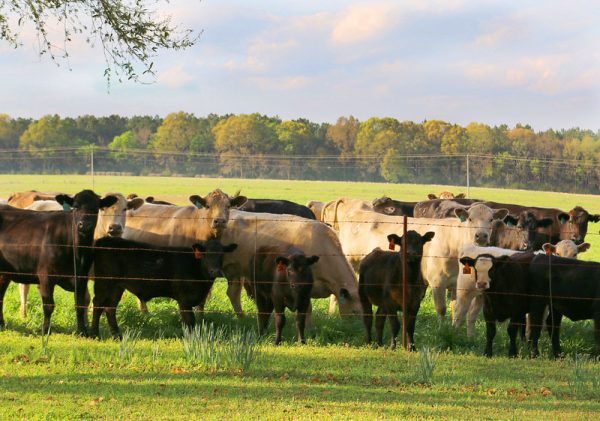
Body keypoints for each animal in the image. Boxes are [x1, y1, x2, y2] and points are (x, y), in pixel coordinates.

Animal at [0, 191, 119, 334]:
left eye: (96, 208)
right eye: (76, 206)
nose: (84, 225)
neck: (77, 252)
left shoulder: (81, 277)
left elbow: (80, 304)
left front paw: (82, 331)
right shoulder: (46, 276)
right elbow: (49, 305)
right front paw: (46, 330)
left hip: (4, 273)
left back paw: (1, 324)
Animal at [91, 236, 237, 338]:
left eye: (222, 255)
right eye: (206, 254)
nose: (216, 271)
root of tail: (105, 239)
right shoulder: (184, 299)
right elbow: (189, 321)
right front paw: (191, 339)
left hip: (117, 286)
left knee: (110, 307)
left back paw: (117, 335)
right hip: (104, 282)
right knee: (97, 304)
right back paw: (94, 334)